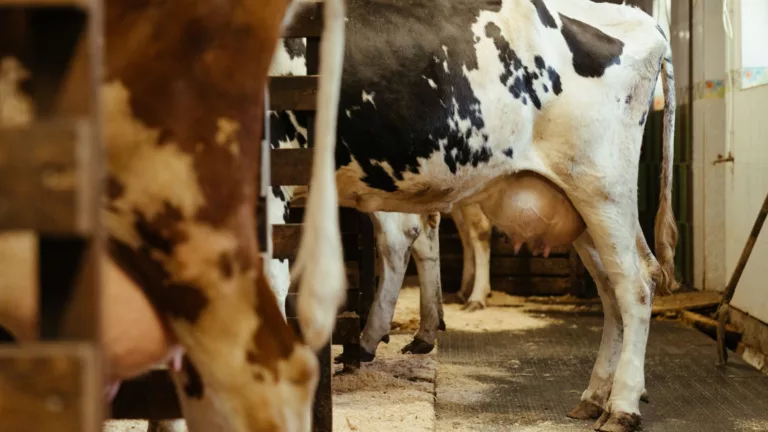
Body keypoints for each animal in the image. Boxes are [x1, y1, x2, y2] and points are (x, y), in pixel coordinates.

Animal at [268, 1, 676, 430]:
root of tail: (641, 20)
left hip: (602, 189)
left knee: (635, 284)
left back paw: (622, 406)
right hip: (579, 206)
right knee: (611, 287)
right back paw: (595, 397)